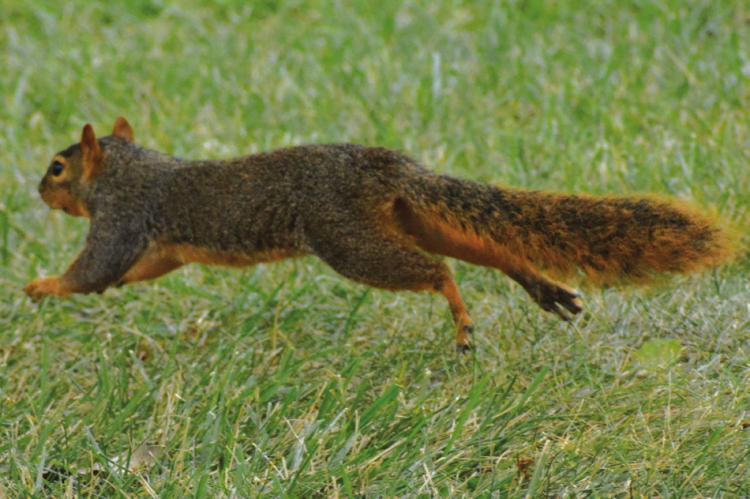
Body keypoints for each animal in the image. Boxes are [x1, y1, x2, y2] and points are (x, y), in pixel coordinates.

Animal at [25, 118, 737, 351]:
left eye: (59, 167)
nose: (37, 189)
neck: (129, 169)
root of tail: (388, 168)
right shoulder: (159, 246)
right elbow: (135, 273)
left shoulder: (122, 218)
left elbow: (93, 273)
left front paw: (39, 286)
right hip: (405, 217)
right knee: (487, 248)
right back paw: (544, 289)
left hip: (347, 239)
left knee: (438, 271)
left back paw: (461, 319)